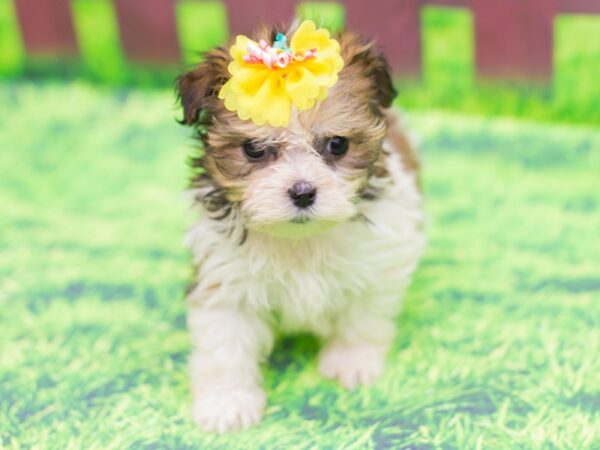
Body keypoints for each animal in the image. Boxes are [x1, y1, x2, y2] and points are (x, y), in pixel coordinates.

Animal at [176, 22, 424, 432]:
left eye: (337, 144)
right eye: (254, 150)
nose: (303, 192)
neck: (300, 238)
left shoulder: (377, 261)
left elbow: (362, 316)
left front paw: (351, 362)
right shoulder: (225, 278)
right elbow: (225, 343)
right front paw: (227, 401)